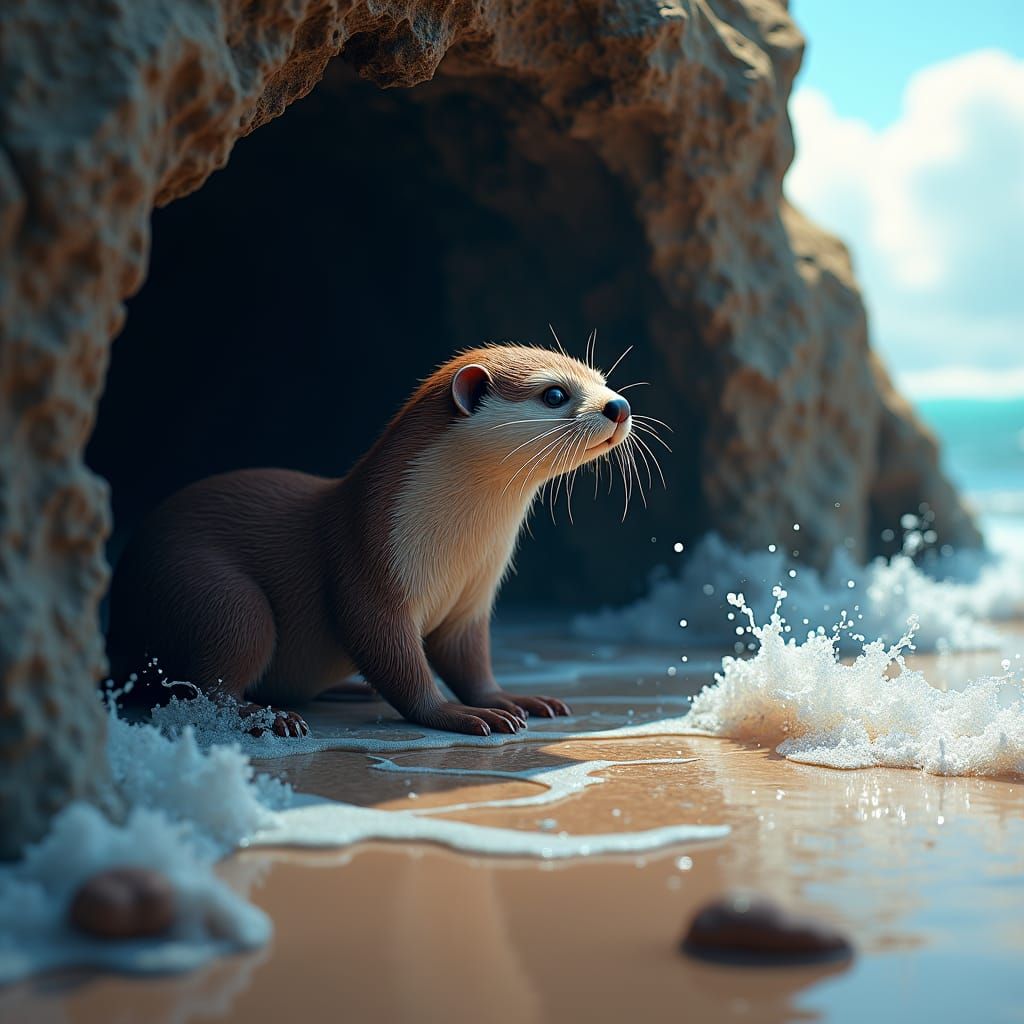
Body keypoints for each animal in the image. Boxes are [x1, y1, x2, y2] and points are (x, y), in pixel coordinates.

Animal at [107, 342, 659, 737]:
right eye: (555, 394)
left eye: (601, 379)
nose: (620, 405)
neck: (457, 549)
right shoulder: (369, 564)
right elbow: (395, 658)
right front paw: (457, 714)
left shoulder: (474, 600)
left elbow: (470, 660)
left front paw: (512, 700)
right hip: (214, 594)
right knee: (206, 685)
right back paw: (270, 717)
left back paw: (347, 691)